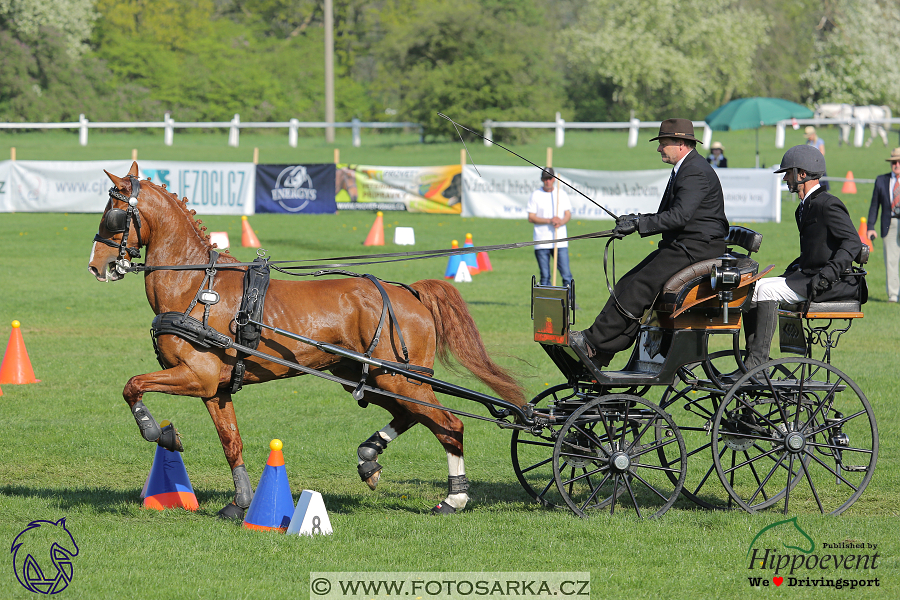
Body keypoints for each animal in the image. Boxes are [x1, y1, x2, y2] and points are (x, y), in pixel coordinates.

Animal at [88, 162, 524, 516]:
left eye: (113, 215)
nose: (97, 266)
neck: (196, 286)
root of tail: (409, 293)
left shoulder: (195, 376)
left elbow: (132, 386)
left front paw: (157, 432)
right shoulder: (214, 388)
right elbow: (231, 441)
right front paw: (240, 502)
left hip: (401, 378)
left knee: (449, 425)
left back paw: (454, 498)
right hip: (371, 376)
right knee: (411, 416)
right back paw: (369, 457)